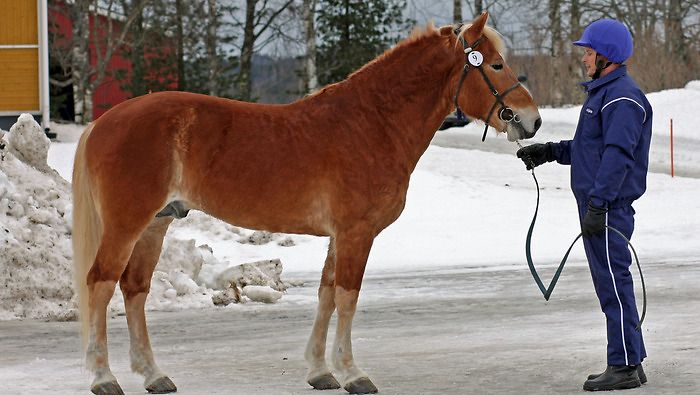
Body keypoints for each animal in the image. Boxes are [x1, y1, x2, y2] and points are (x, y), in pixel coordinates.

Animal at [71, 12, 540, 395]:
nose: (531, 120)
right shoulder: (356, 234)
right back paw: (103, 378)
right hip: (127, 224)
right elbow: (347, 298)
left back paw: (154, 375)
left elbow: (326, 294)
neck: (372, 123)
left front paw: (320, 371)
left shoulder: (340, 236)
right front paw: (353, 373)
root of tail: (103, 121)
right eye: (495, 65)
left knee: (134, 289)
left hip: (156, 223)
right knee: (100, 284)